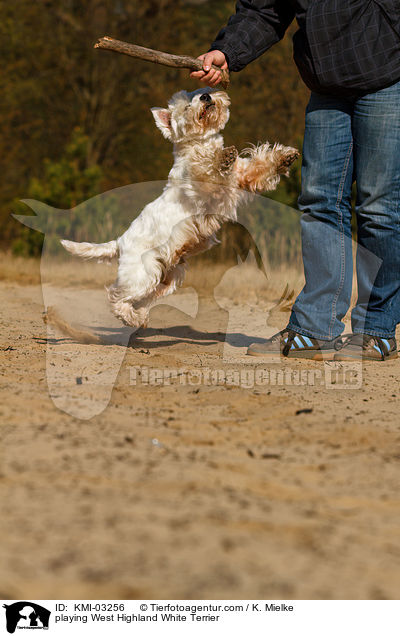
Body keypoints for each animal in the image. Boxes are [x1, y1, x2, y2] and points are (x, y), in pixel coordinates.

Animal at [61, 88, 298, 328]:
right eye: (185, 107)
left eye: (200, 92)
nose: (206, 97)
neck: (202, 142)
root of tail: (120, 241)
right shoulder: (202, 186)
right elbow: (206, 167)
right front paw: (222, 157)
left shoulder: (244, 177)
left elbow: (261, 165)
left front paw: (285, 157)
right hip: (141, 274)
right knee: (116, 295)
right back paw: (132, 319)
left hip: (168, 278)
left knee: (142, 299)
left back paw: (140, 317)